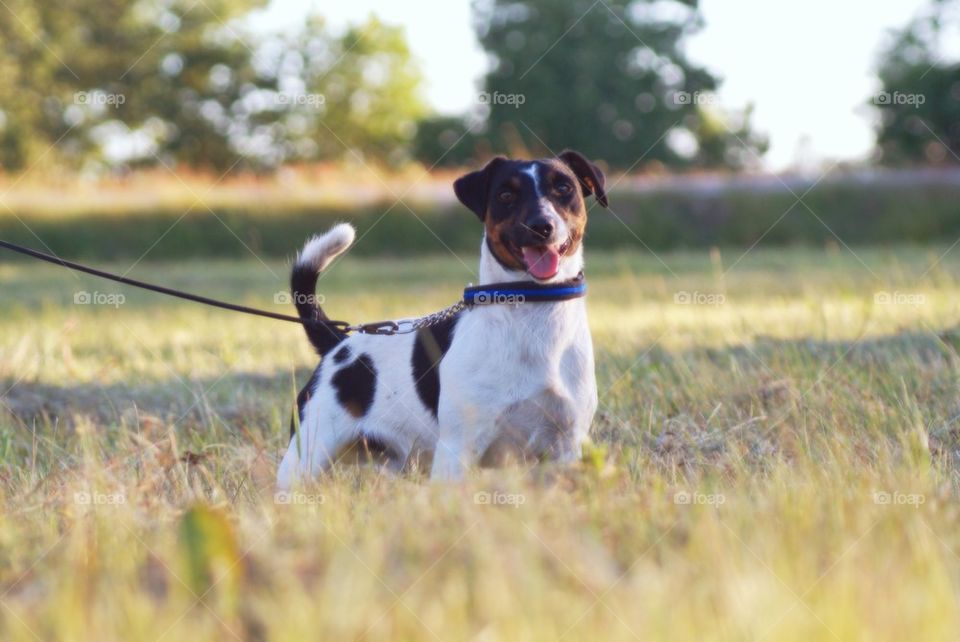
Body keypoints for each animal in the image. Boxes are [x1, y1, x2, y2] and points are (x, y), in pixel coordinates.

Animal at [278, 149, 608, 484]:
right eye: (505, 195)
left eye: (564, 188)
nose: (541, 225)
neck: (533, 310)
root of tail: (338, 343)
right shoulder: (458, 448)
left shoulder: (565, 446)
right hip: (305, 457)